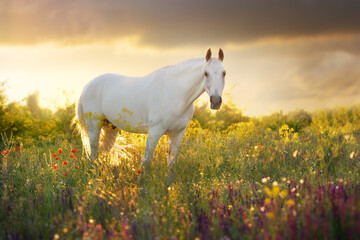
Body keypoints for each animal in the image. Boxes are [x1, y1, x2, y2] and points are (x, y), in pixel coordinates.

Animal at [75, 48, 225, 167]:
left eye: (224, 73)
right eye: (205, 73)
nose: (215, 101)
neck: (176, 93)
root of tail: (87, 86)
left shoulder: (178, 133)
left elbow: (171, 164)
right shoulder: (155, 131)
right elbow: (146, 162)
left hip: (110, 128)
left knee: (101, 153)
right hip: (94, 125)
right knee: (94, 154)